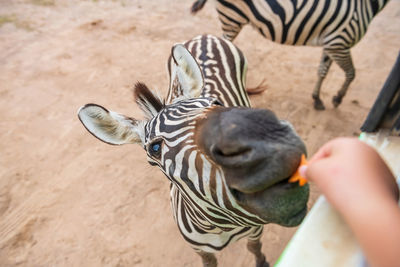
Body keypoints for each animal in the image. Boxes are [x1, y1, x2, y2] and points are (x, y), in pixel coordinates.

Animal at [78, 34, 310, 266]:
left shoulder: (256, 230)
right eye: (155, 148)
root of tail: (205, 36)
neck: (223, 227)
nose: (271, 144)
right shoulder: (200, 250)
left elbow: (254, 247)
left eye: (216, 103)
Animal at [192, 0, 390, 110]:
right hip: (232, 17)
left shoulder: (331, 43)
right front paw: (337, 98)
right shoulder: (340, 42)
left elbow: (323, 70)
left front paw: (317, 98)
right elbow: (351, 73)